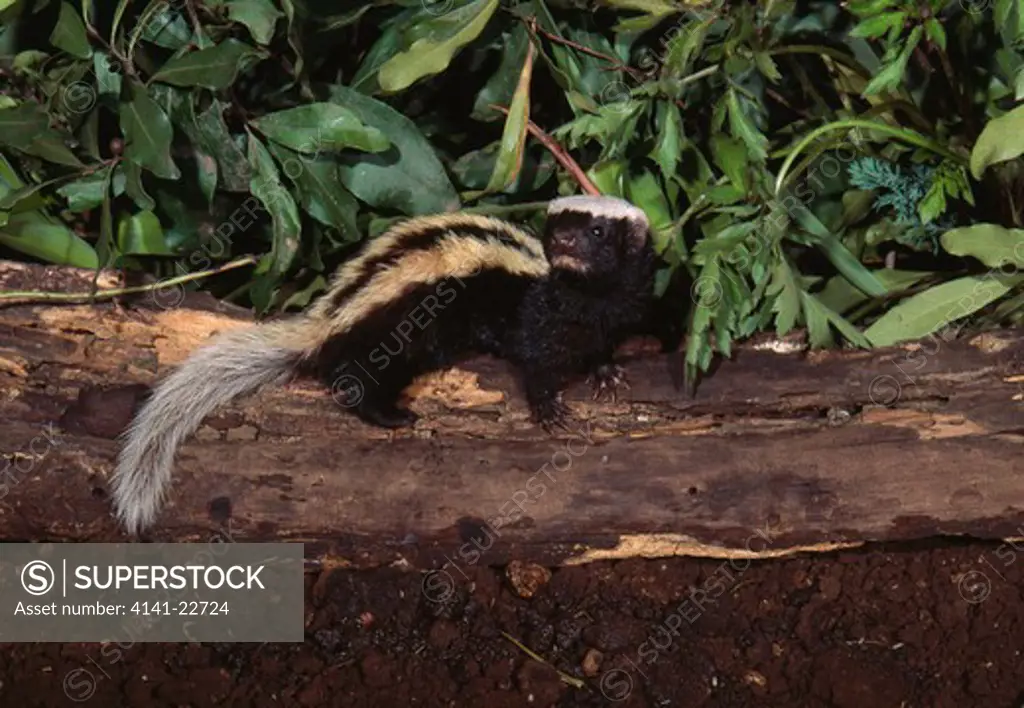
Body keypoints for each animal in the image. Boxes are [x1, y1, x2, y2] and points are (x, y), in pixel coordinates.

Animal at [110, 193, 655, 532]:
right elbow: (534, 361)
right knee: (354, 381)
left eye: (597, 232)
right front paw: (548, 409)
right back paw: (392, 415)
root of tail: (329, 319)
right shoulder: (533, 316)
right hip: (392, 335)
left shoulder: (611, 313)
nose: (562, 244)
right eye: (557, 227)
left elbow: (603, 345)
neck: (580, 293)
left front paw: (607, 373)